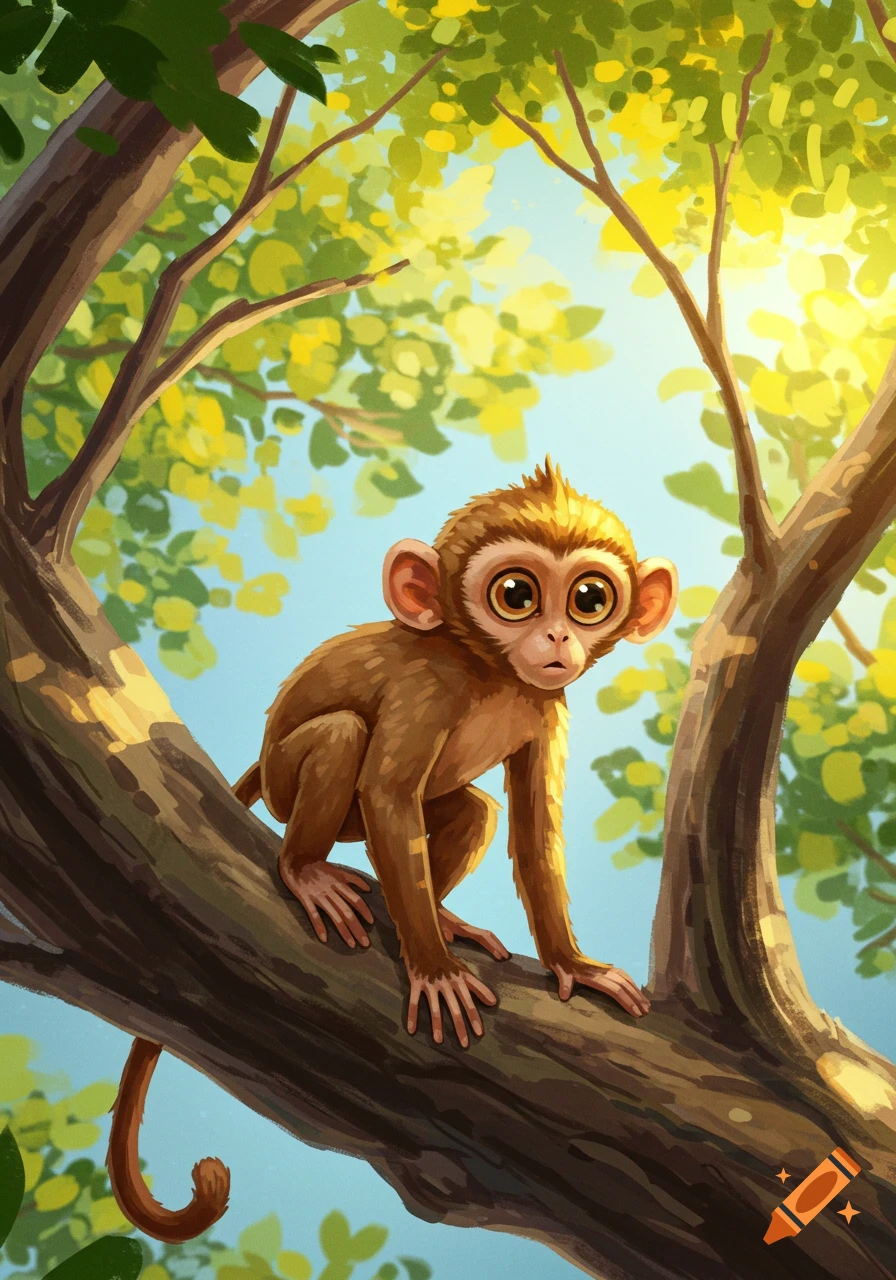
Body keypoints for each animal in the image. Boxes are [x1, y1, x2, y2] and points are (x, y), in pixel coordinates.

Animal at [106, 458, 677, 1243]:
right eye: (517, 596)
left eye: (589, 599)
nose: (559, 639)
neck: (490, 671)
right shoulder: (425, 687)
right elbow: (389, 794)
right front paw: (433, 972)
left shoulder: (546, 705)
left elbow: (532, 829)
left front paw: (572, 965)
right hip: (292, 787)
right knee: (344, 736)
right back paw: (308, 872)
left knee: (474, 808)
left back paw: (444, 916)